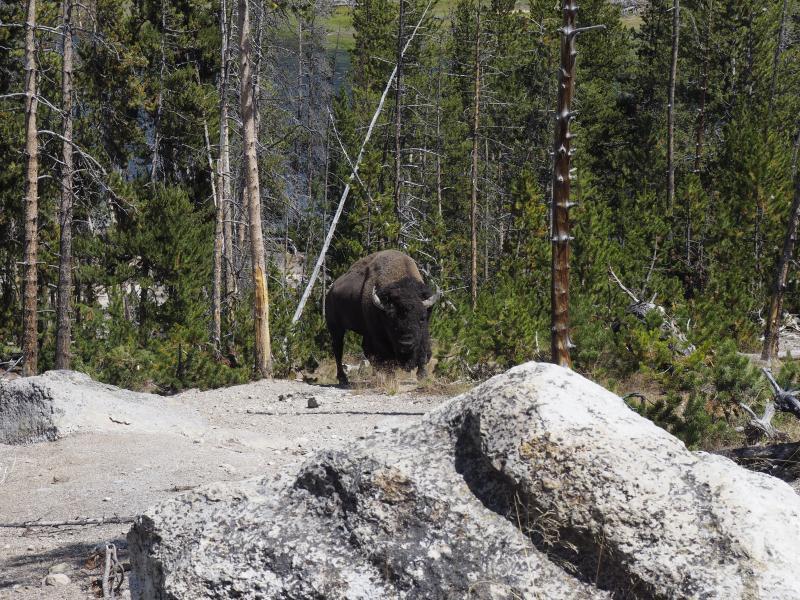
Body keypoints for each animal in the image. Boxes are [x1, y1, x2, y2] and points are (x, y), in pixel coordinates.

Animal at [325, 250, 441, 385]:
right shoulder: (379, 337)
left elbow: (423, 351)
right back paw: (343, 379)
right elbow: (387, 358)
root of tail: (330, 291)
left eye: (422, 318)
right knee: (338, 350)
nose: (406, 343)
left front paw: (423, 376)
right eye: (391, 319)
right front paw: (391, 378)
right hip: (335, 327)